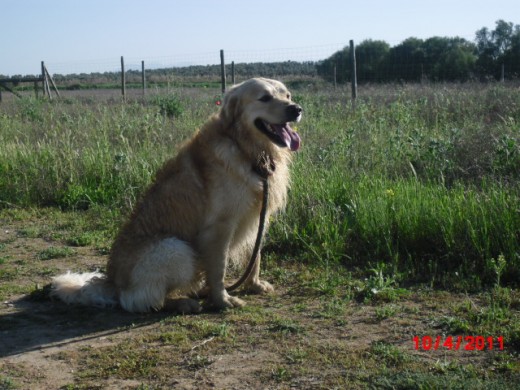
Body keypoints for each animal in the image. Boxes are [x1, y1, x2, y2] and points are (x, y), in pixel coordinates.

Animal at [50, 78, 302, 314]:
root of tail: (113, 282)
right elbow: (219, 269)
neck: (246, 148)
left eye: (287, 95)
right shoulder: (220, 226)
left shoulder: (260, 216)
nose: (296, 109)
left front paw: (254, 284)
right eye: (264, 98)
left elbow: (255, 256)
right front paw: (222, 300)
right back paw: (184, 302)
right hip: (175, 248)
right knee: (144, 301)